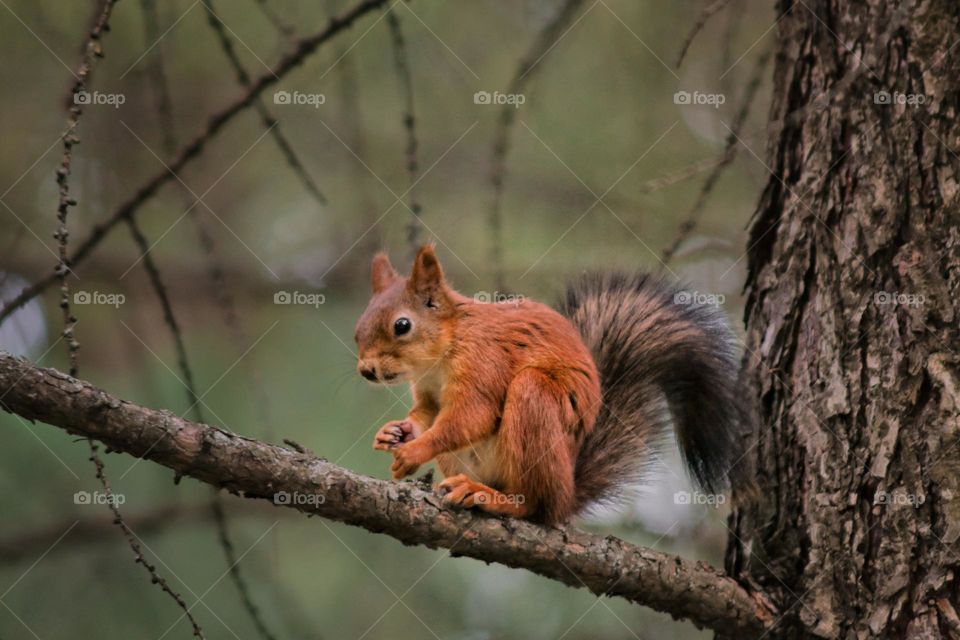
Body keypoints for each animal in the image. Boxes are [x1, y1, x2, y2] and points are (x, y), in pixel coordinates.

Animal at [354, 245, 752, 524]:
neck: (441, 354)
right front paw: (395, 433)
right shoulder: (427, 392)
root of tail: (567, 495)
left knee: (535, 507)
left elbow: (470, 417)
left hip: (536, 404)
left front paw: (414, 451)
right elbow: (426, 413)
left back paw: (495, 499)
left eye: (402, 325)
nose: (366, 370)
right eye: (358, 328)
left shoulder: (483, 362)